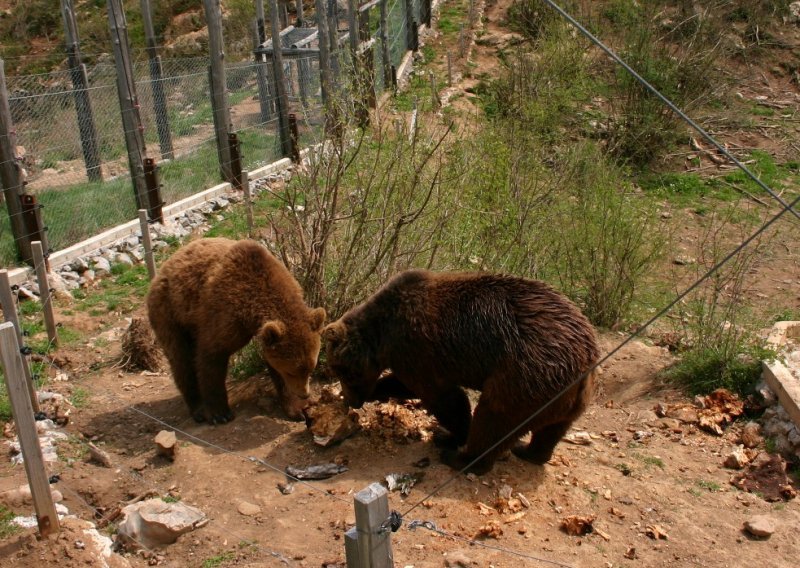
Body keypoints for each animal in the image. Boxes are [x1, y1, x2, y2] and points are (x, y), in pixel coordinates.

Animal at [147, 237, 324, 424]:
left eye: (311, 368)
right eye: (291, 371)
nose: (304, 394)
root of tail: (164, 266)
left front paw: (297, 409)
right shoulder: (224, 314)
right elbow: (211, 356)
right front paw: (220, 413)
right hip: (170, 313)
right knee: (181, 359)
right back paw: (199, 409)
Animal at [322, 268, 596, 472]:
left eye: (342, 372)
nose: (352, 400)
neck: (382, 334)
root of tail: (586, 354)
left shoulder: (416, 347)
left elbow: (442, 397)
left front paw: (451, 435)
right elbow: (407, 386)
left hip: (526, 374)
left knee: (495, 417)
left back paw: (461, 459)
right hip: (564, 395)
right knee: (551, 429)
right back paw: (529, 451)